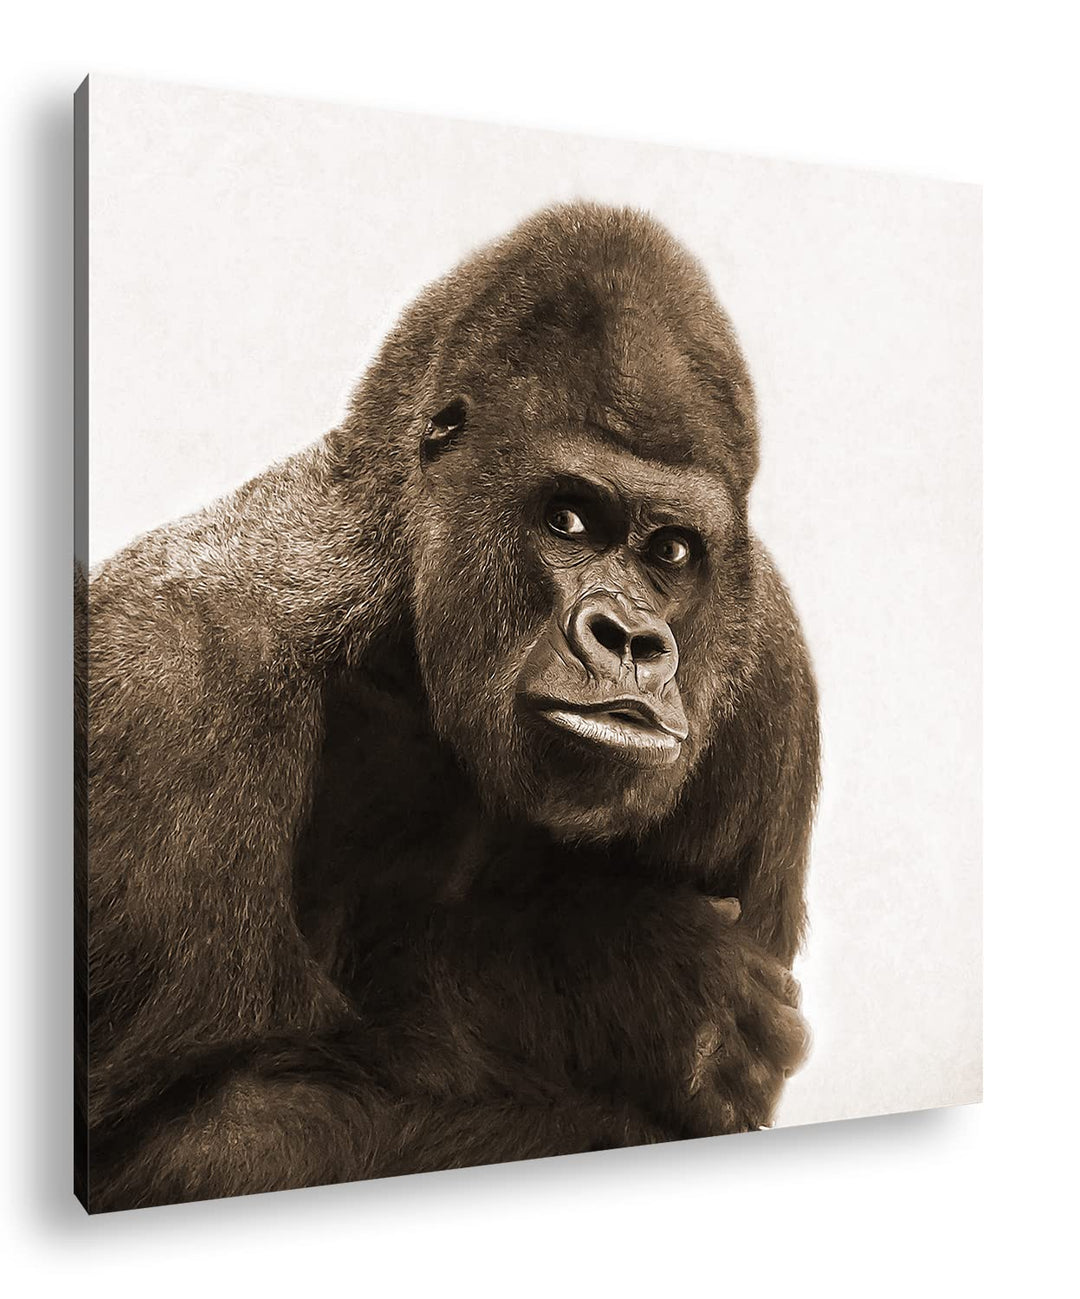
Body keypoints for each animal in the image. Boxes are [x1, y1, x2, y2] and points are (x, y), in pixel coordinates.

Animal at [78, 203, 819, 1211]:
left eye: (671, 550)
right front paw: (627, 983)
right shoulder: (168, 681)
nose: (630, 639)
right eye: (567, 519)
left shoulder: (770, 677)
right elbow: (182, 1139)